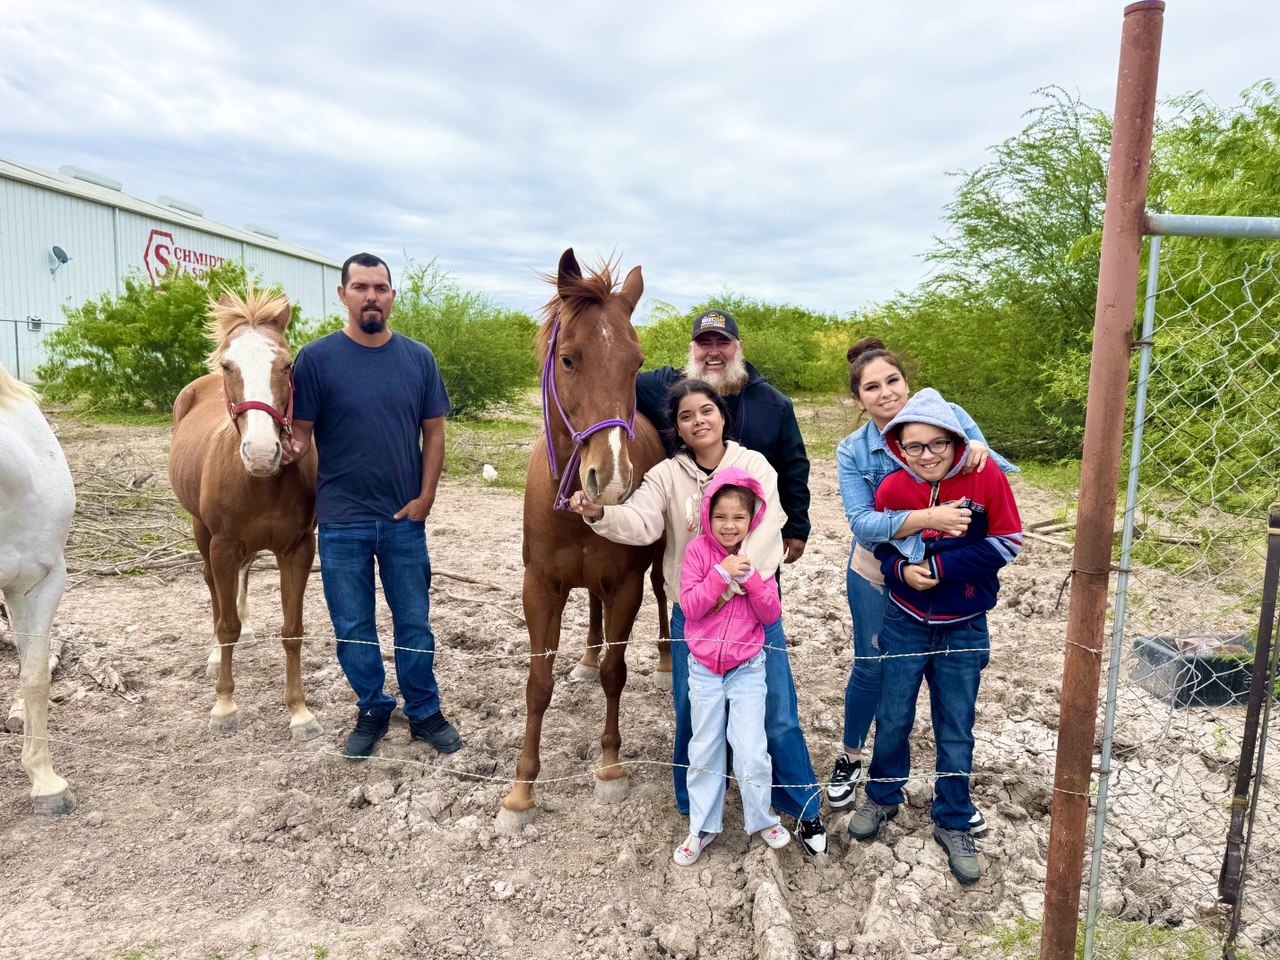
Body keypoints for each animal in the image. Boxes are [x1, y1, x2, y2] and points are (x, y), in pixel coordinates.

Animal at [169, 289, 322, 741]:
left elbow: (292, 630)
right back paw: (213, 655)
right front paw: (224, 705)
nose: (260, 453)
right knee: (214, 591)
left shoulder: (297, 549)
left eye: (287, 364)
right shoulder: (222, 544)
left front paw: (299, 711)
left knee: (244, 575)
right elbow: (226, 627)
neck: (261, 482)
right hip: (202, 532)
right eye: (228, 365)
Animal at [498, 249, 669, 831]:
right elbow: (537, 684)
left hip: (653, 571)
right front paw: (521, 791)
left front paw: (610, 767)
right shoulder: (540, 588)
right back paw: (587, 656)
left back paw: (666, 663)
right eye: (569, 360)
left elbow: (617, 674)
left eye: (636, 364)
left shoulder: (627, 585)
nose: (611, 480)